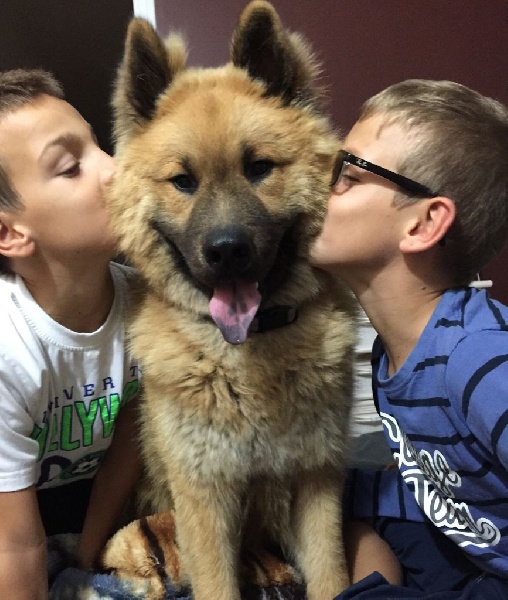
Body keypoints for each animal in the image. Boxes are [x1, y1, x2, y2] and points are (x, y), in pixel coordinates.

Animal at [105, 2, 357, 599]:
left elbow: (331, 574)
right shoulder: (204, 497)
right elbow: (217, 581)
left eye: (259, 168)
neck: (247, 355)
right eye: (183, 181)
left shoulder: (316, 479)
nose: (227, 251)